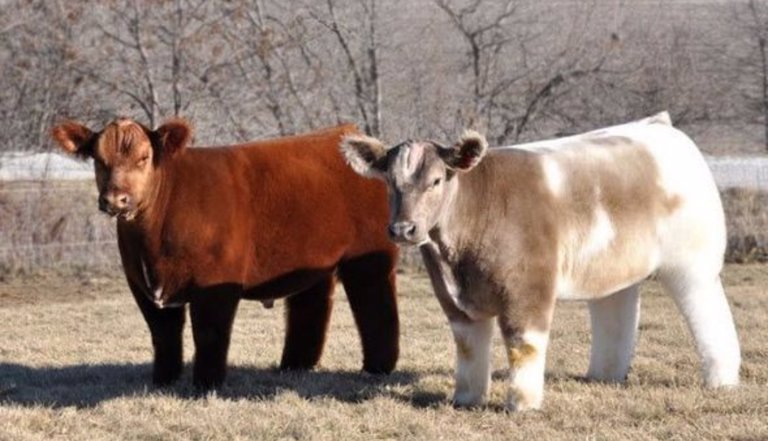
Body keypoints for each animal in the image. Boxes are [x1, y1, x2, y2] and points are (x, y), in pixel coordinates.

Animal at [50, 118, 399, 390]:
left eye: (144, 157)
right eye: (98, 159)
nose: (115, 199)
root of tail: (348, 133)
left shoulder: (215, 282)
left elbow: (209, 332)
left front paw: (206, 385)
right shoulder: (141, 284)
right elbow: (163, 335)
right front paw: (163, 381)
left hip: (369, 256)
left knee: (375, 305)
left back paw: (378, 368)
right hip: (311, 260)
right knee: (310, 305)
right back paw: (295, 366)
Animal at [340, 112, 741, 411]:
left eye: (437, 180)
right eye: (389, 182)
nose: (403, 229)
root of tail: (658, 126)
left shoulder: (527, 289)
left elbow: (524, 345)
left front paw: (522, 404)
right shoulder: (455, 301)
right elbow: (469, 347)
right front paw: (466, 399)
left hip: (692, 265)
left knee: (711, 317)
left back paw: (722, 379)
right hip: (613, 266)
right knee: (614, 311)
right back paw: (604, 374)